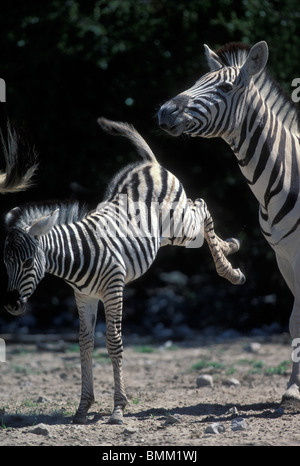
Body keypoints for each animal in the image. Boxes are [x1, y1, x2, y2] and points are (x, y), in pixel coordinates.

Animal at [3, 117, 245, 426]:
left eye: (28, 262)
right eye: (5, 262)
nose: (11, 305)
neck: (77, 256)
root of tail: (149, 164)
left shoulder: (113, 289)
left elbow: (113, 342)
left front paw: (118, 408)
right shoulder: (84, 297)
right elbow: (84, 343)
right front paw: (83, 407)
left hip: (180, 226)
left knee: (200, 207)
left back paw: (229, 268)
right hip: (166, 234)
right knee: (198, 209)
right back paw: (230, 245)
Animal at [157, 41, 300, 408]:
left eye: (224, 88)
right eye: (197, 81)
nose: (164, 111)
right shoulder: (284, 256)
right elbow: (295, 322)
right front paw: (293, 388)